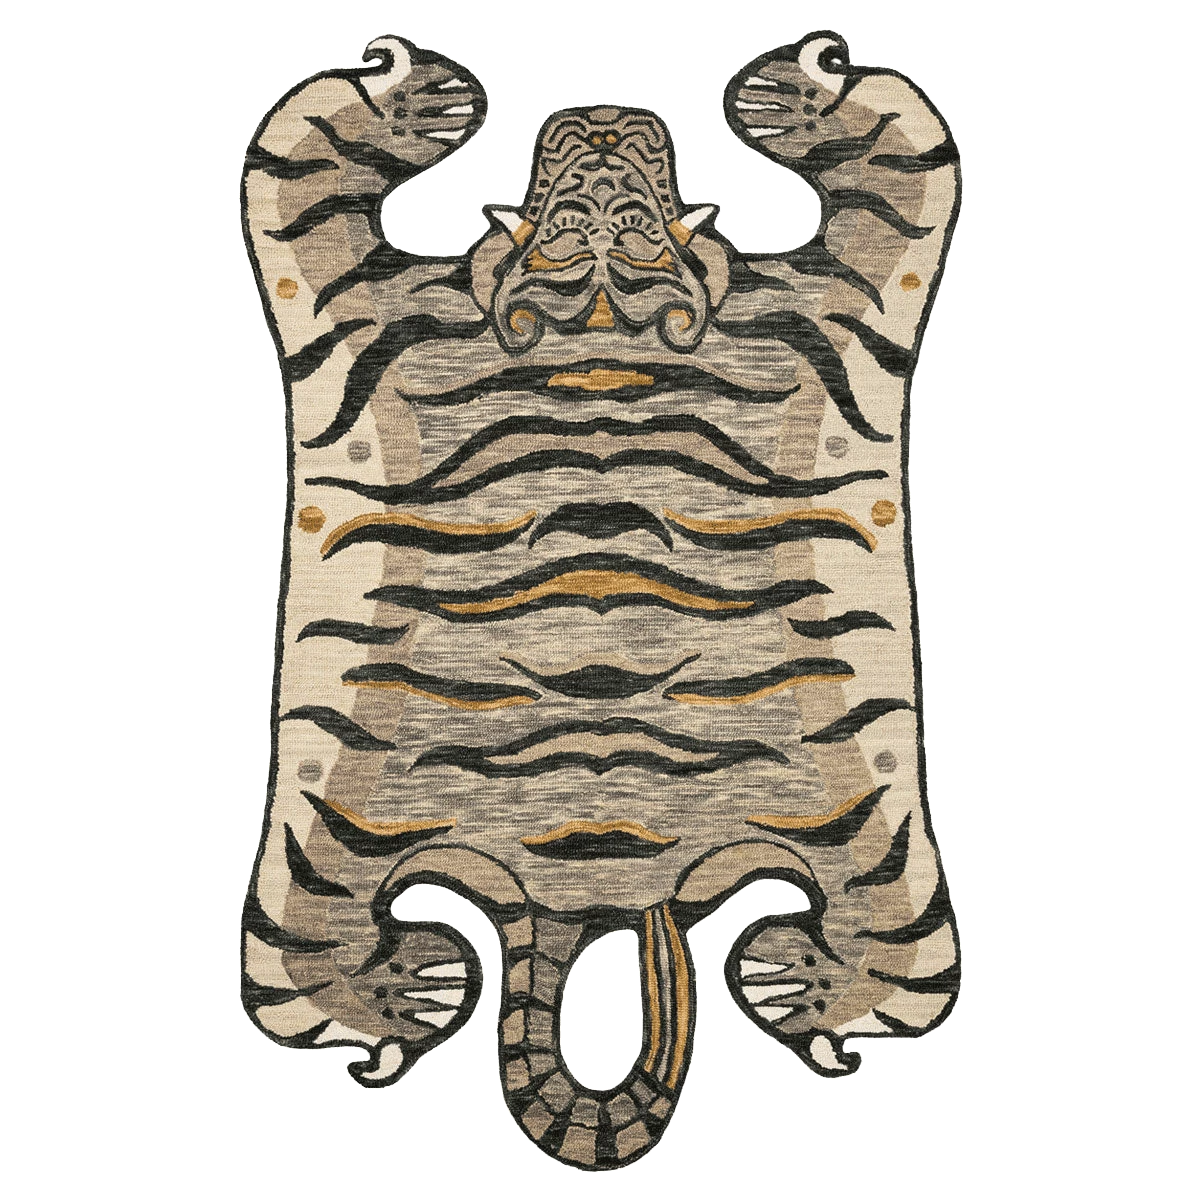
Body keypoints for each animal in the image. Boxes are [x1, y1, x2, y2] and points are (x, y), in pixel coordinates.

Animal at [241, 30, 962, 1170]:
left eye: (634, 204)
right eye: (568, 199)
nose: (608, 115)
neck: (599, 319)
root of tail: (596, 903)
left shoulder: (844, 301)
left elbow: (903, 157)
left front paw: (796, 92)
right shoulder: (348, 302)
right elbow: (299, 160)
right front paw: (416, 97)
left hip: (882, 842)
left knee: (896, 950)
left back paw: (805, 983)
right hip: (318, 843)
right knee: (304, 959)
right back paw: (403, 992)